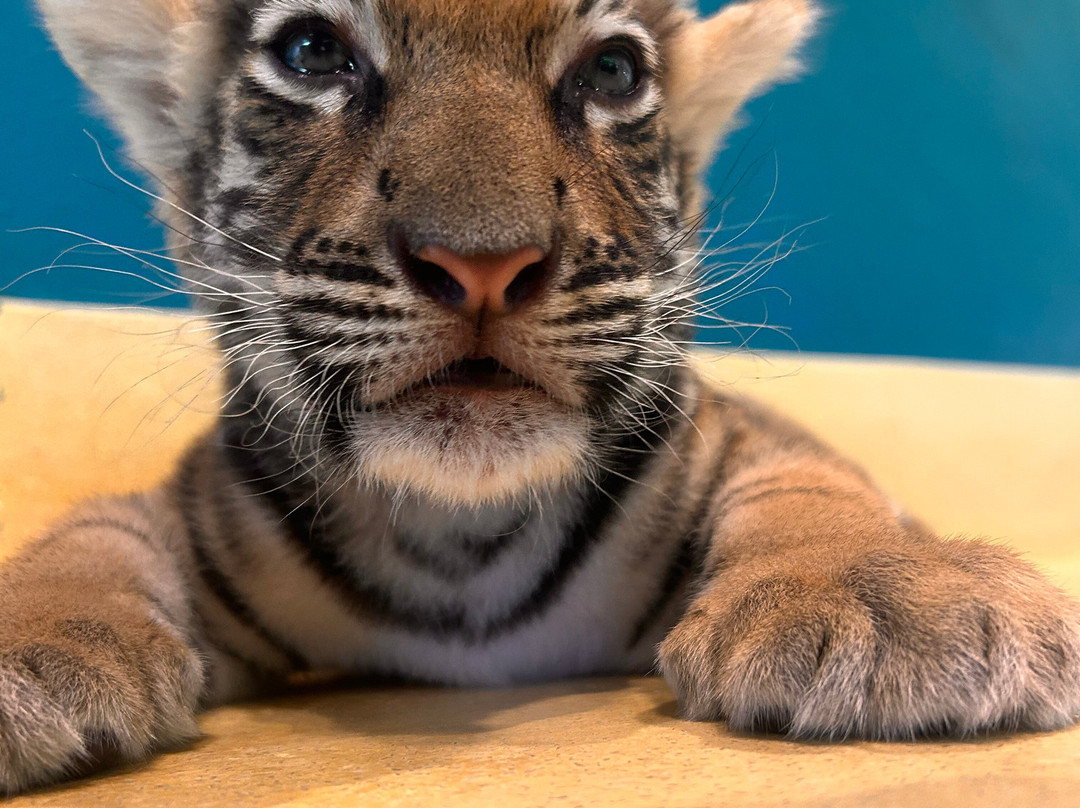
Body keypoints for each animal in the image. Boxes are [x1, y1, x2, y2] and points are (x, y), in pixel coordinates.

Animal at [2, 0, 1078, 795]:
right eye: (313, 52)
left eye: (614, 73)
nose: (483, 263)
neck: (460, 539)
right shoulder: (201, 494)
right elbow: (89, 537)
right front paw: (32, 646)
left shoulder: (725, 434)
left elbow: (814, 488)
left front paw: (889, 599)